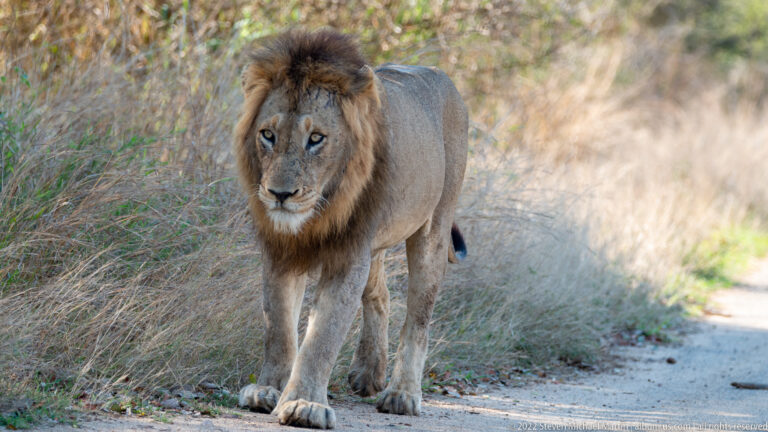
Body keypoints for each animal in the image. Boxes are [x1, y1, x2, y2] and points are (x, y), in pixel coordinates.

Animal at [234, 29, 468, 429]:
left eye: (316, 138)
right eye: (267, 135)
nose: (280, 194)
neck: (319, 213)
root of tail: (443, 77)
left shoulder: (348, 254)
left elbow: (323, 335)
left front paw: (303, 404)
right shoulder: (282, 251)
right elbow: (278, 326)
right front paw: (267, 390)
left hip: (432, 230)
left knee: (418, 319)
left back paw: (402, 395)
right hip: (373, 243)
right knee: (381, 294)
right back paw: (368, 372)